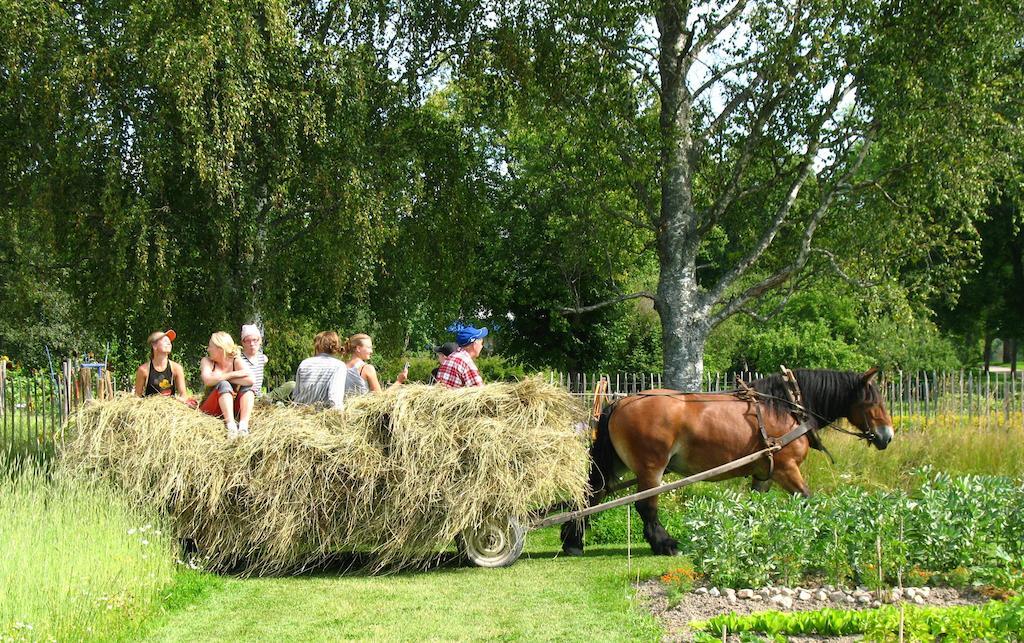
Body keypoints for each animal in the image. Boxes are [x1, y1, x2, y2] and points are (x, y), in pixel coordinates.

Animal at [565, 368, 892, 556]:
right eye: (871, 401)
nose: (887, 436)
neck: (786, 408)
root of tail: (621, 402)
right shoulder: (786, 469)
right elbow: (808, 500)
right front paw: (824, 531)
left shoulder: (765, 473)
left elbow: (754, 509)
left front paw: (748, 538)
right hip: (651, 468)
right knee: (646, 507)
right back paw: (665, 544)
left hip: (618, 465)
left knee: (591, 496)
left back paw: (573, 542)